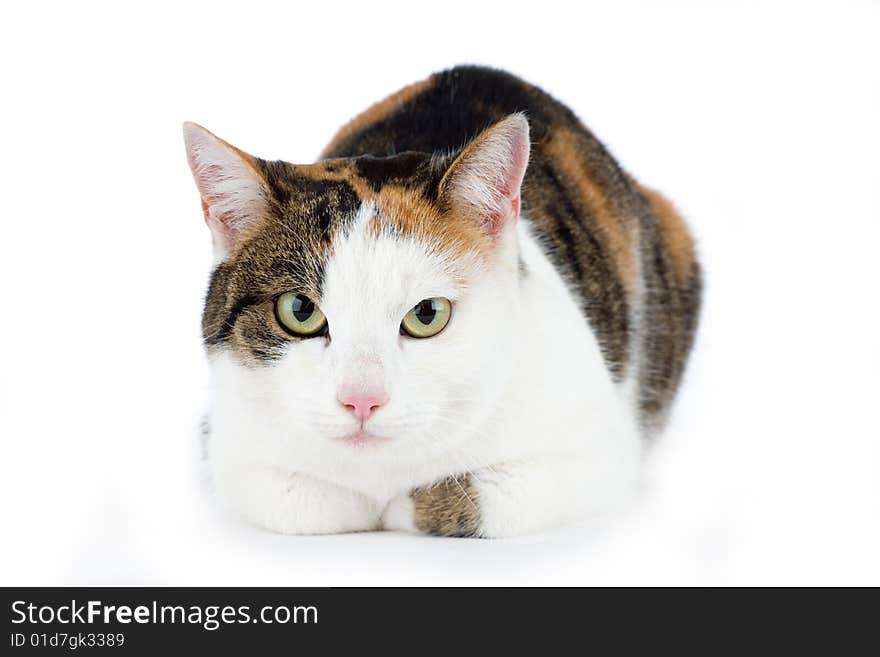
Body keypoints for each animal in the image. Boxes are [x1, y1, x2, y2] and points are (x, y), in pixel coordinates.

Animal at [184, 64, 700, 536]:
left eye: (427, 314)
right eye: (300, 311)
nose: (362, 401)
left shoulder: (599, 452)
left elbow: (469, 497)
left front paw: (401, 506)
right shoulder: (229, 446)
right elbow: (307, 499)